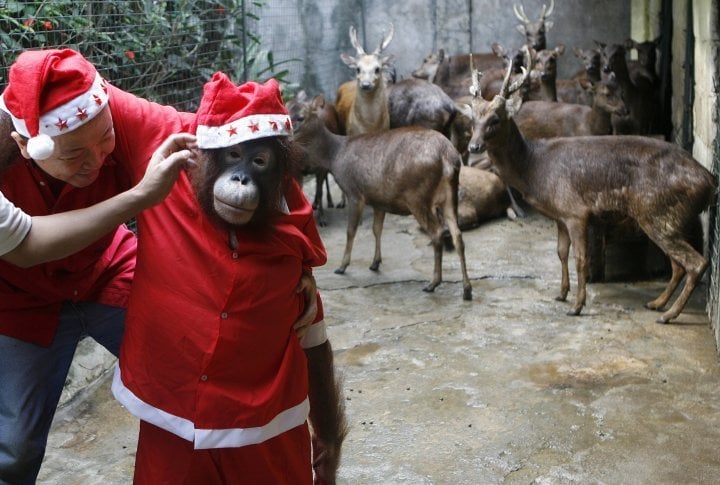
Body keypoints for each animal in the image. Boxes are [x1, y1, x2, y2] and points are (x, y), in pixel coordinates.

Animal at [292, 93, 472, 298]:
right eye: (287, 108)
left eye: (300, 117)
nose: (286, 136)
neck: (334, 156)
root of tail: (448, 157)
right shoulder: (379, 199)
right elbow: (376, 229)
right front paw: (375, 263)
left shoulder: (354, 191)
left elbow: (351, 230)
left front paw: (342, 266)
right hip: (450, 195)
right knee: (458, 236)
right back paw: (467, 289)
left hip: (417, 196)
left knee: (437, 233)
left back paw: (433, 283)